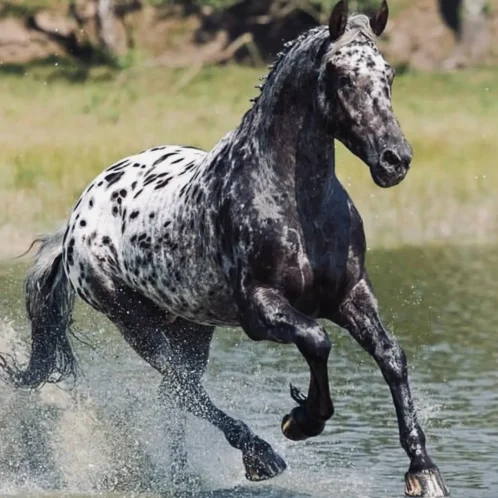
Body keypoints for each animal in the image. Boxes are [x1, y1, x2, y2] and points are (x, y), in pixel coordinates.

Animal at [0, 1, 450, 496]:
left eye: (388, 75)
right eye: (343, 76)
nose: (395, 159)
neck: (298, 206)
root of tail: (77, 219)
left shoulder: (352, 295)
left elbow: (392, 358)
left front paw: (423, 469)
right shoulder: (261, 308)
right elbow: (317, 340)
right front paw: (301, 420)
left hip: (191, 327)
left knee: (176, 393)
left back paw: (182, 475)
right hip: (133, 323)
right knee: (183, 387)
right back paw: (259, 455)